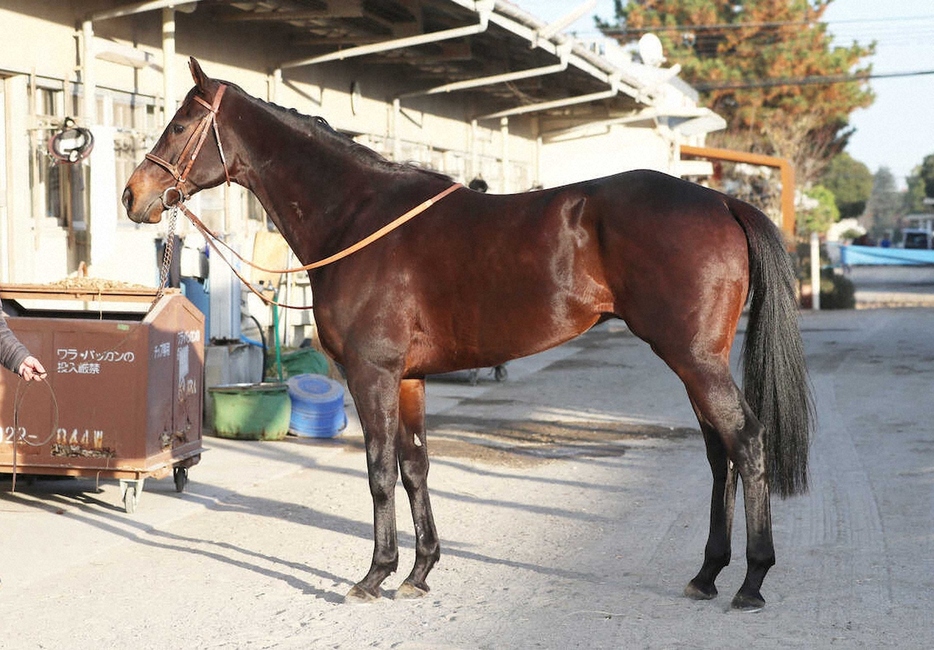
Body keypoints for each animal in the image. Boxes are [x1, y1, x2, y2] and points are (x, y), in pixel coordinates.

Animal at [122, 58, 812, 612]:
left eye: (180, 124)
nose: (133, 196)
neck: (357, 215)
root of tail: (720, 202)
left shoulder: (372, 375)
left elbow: (379, 470)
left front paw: (374, 576)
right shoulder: (409, 379)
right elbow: (416, 467)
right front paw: (419, 571)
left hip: (695, 359)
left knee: (747, 443)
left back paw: (752, 581)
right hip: (694, 362)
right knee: (719, 453)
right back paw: (707, 573)